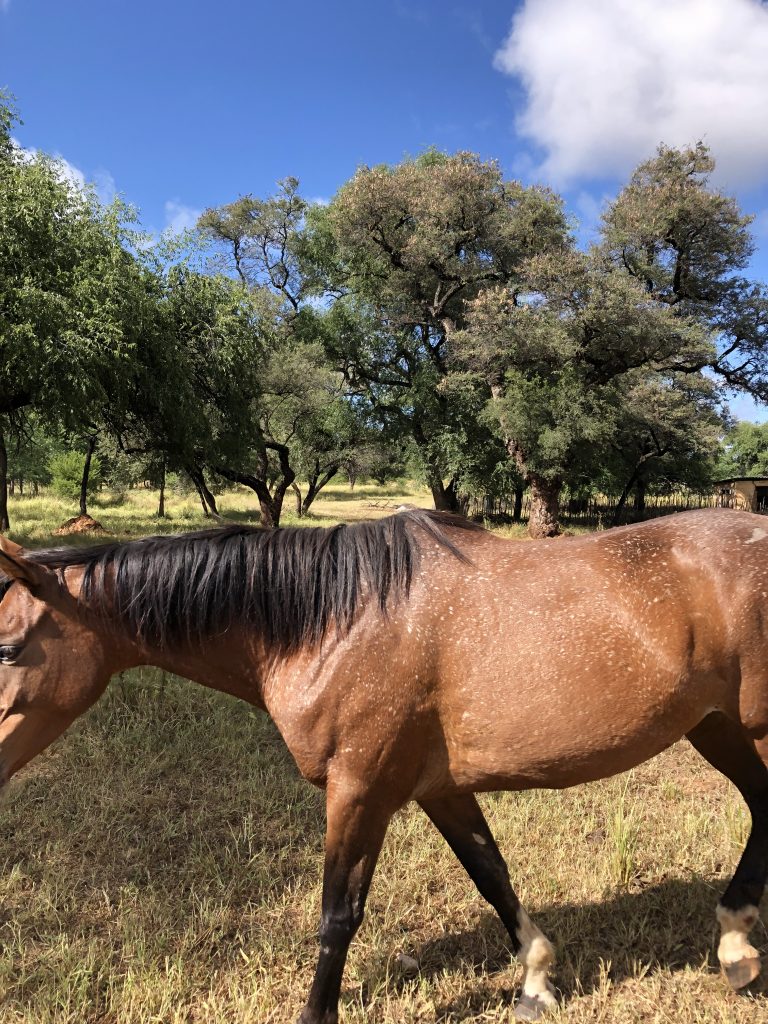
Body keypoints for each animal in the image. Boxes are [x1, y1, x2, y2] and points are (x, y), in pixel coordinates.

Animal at [0, 506, 767, 1022]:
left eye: (9, 649)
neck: (332, 620)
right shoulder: (437, 789)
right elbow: (492, 876)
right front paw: (536, 981)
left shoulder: (359, 790)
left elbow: (338, 913)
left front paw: (316, 1014)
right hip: (719, 730)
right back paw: (735, 943)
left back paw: (736, 944)